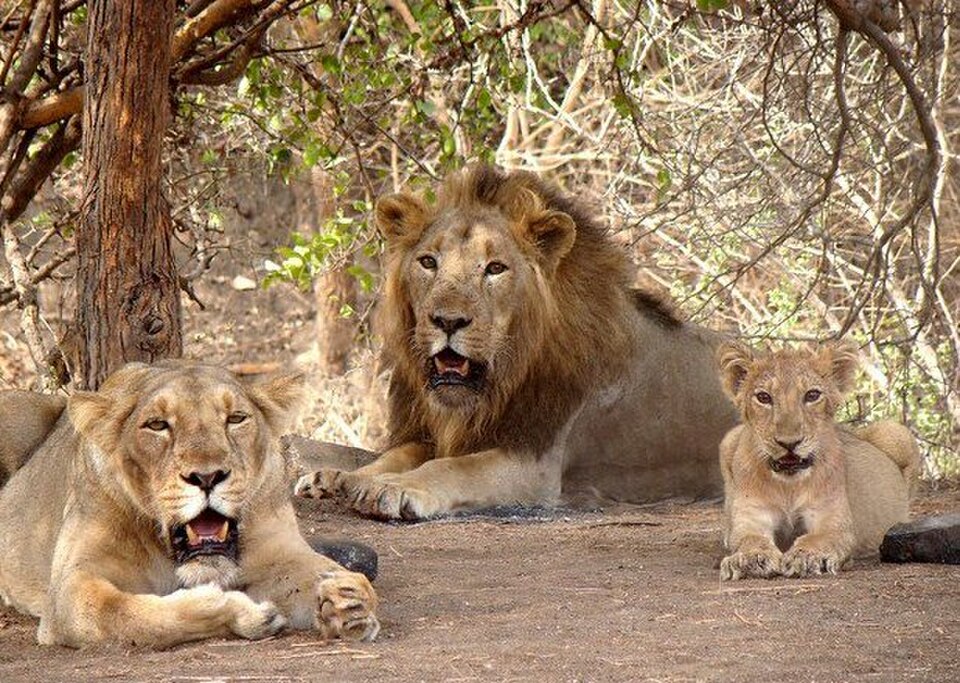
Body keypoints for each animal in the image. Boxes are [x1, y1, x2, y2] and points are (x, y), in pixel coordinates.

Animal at [0, 361, 380, 648]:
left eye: (235, 418)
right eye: (157, 425)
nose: (208, 476)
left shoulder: (279, 551)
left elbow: (331, 575)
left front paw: (348, 600)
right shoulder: (70, 587)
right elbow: (130, 617)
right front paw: (240, 612)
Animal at [295, 164, 738, 520]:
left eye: (495, 268)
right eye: (428, 262)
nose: (447, 320)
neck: (500, 382)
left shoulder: (535, 462)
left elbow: (453, 468)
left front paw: (391, 488)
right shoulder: (435, 433)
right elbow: (394, 455)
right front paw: (338, 477)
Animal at [715, 340, 919, 580]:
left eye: (812, 395)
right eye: (764, 397)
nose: (789, 443)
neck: (788, 486)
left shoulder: (833, 521)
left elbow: (818, 538)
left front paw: (808, 557)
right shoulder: (751, 518)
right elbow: (749, 539)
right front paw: (750, 559)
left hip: (896, 432)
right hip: (729, 439)